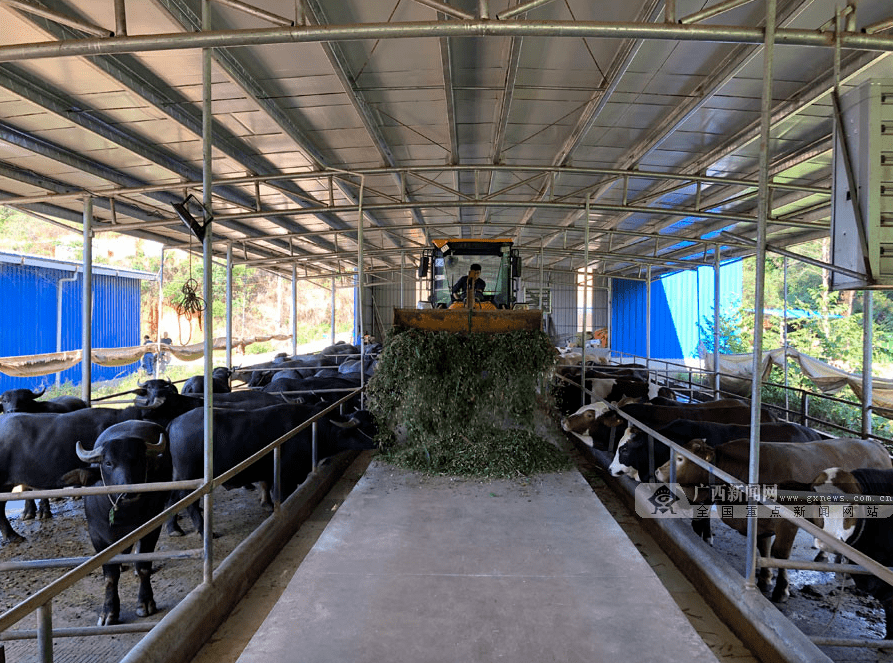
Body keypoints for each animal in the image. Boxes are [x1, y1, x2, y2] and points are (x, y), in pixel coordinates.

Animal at [75, 422, 171, 624]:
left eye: (137, 460)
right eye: (108, 463)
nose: (127, 492)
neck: (125, 515)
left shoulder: (152, 528)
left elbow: (143, 567)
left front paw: (145, 603)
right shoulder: (97, 536)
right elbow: (110, 577)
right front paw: (109, 612)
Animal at [165, 402, 376, 536]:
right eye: (367, 426)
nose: (382, 440)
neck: (312, 430)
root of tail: (173, 422)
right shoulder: (284, 478)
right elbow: (281, 497)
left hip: (178, 476)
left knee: (171, 500)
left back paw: (173, 528)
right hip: (190, 476)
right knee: (188, 502)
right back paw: (203, 531)